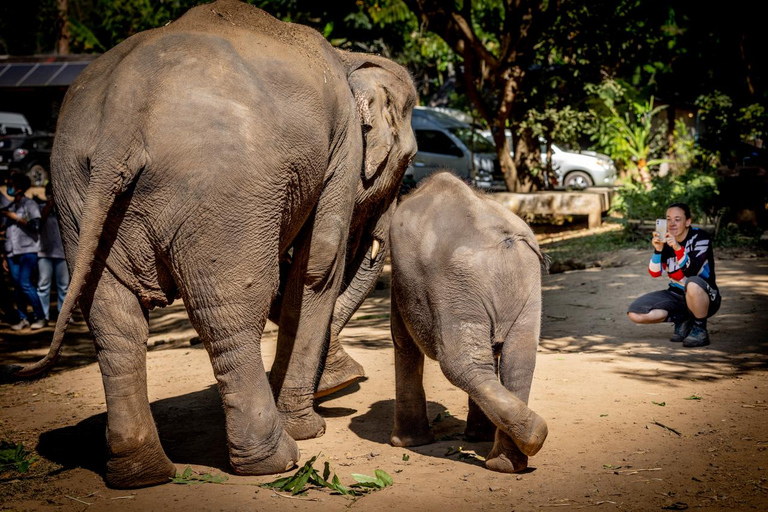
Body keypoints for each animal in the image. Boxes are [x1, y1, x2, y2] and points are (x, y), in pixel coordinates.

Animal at [15, 0, 417, 488]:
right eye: (410, 158)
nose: (346, 380)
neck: (348, 57)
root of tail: (120, 119)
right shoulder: (340, 151)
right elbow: (318, 267)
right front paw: (311, 426)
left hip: (76, 189)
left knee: (113, 320)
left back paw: (142, 473)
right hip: (225, 191)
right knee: (231, 311)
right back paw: (278, 459)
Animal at [388, 172, 548, 473]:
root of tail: (507, 239)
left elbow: (402, 340)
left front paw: (404, 444)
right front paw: (477, 437)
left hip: (458, 285)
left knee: (460, 364)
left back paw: (522, 445)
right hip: (519, 284)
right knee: (517, 359)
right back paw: (517, 454)